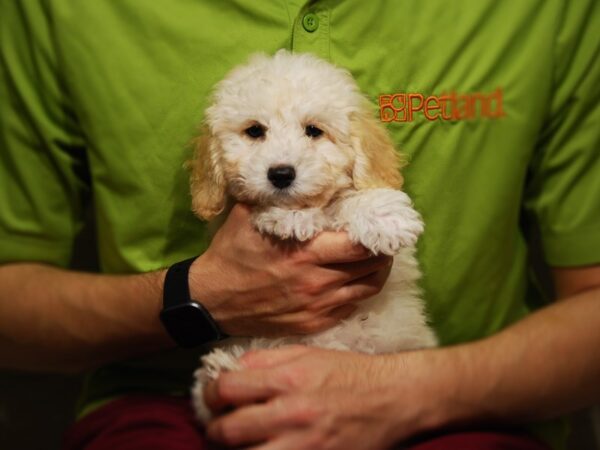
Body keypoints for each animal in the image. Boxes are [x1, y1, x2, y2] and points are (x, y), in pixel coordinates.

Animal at [189, 50, 436, 422]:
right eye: (254, 131)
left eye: (314, 131)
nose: (281, 174)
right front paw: (290, 216)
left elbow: (347, 200)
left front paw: (382, 215)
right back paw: (224, 371)